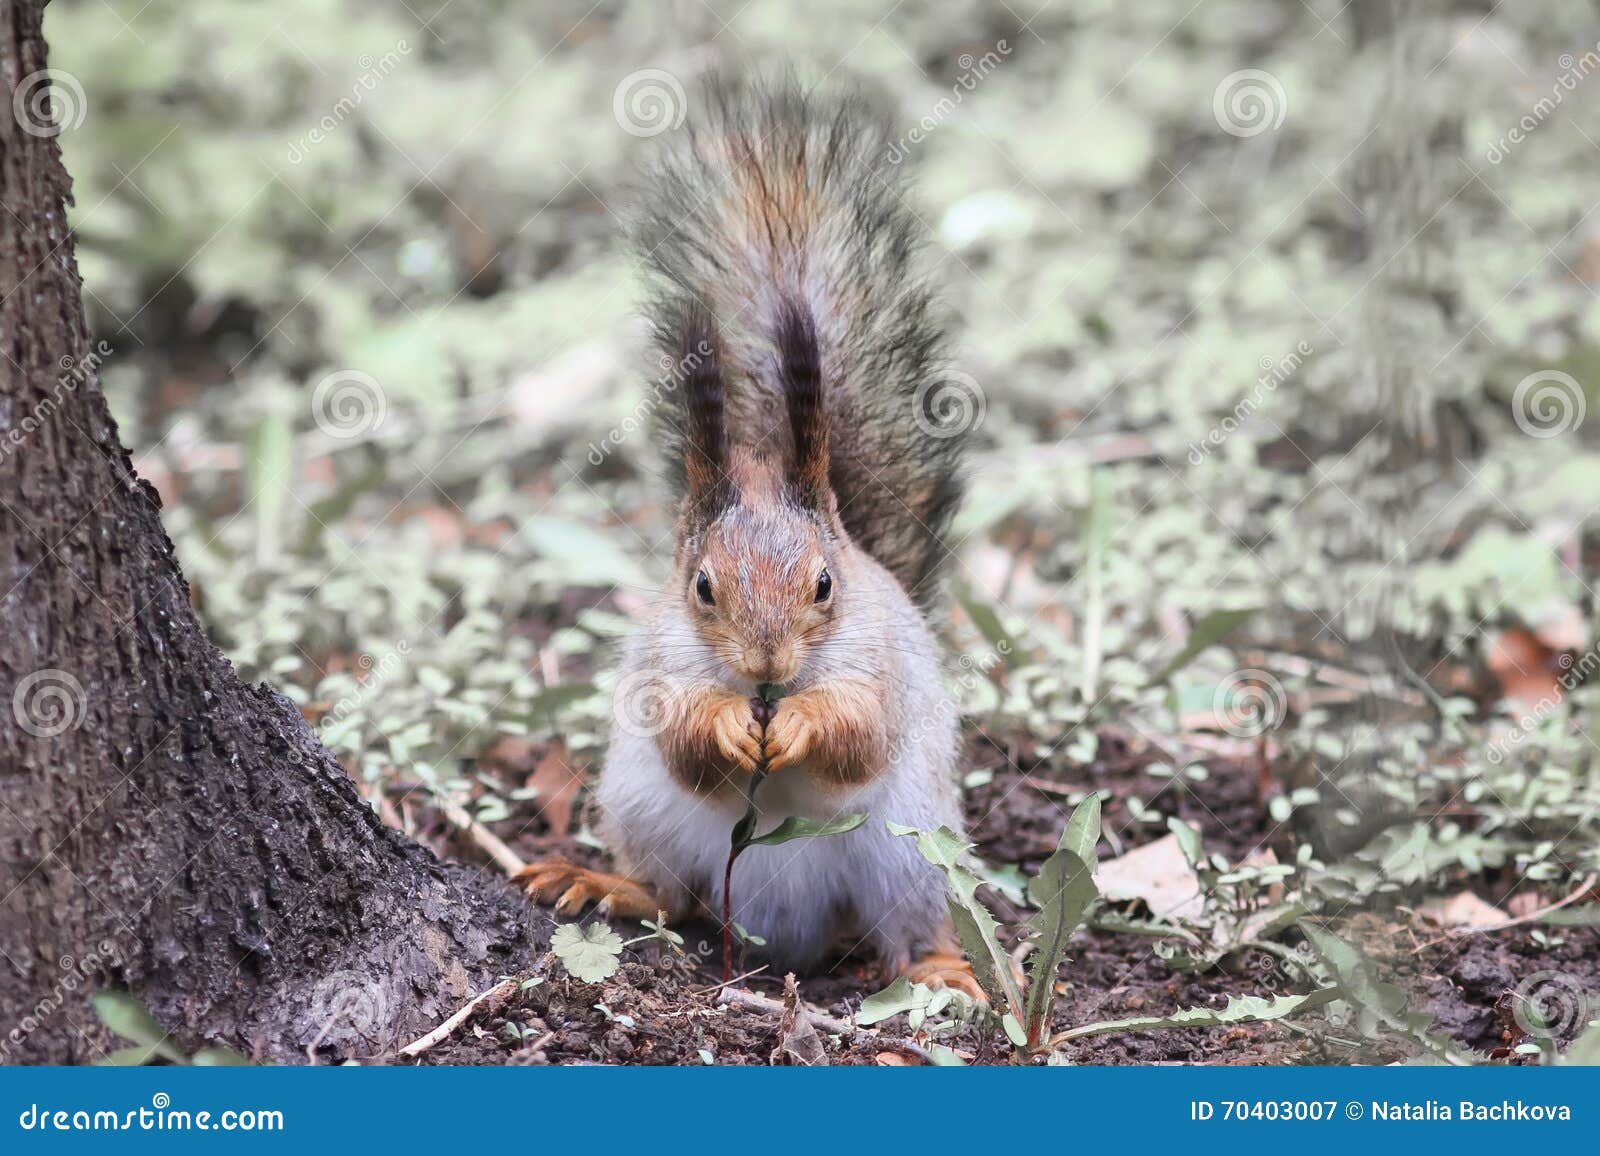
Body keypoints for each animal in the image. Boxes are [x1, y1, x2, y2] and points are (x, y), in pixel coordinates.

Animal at [519, 76, 980, 999]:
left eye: (825, 585)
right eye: (703, 585)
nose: (767, 666)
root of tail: (785, 927)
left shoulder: (879, 661)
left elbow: (859, 730)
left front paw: (798, 725)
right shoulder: (663, 662)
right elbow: (682, 737)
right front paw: (732, 727)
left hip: (909, 854)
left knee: (905, 928)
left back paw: (940, 966)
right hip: (645, 811)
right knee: (671, 895)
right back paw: (606, 883)